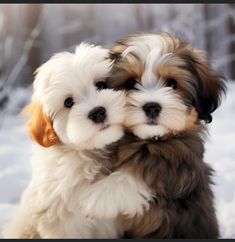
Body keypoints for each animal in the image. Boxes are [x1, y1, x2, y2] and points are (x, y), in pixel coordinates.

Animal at [3, 32, 226, 238]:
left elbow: (146, 171)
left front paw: (93, 198)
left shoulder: (180, 160)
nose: (97, 112)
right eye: (68, 102)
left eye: (172, 84)